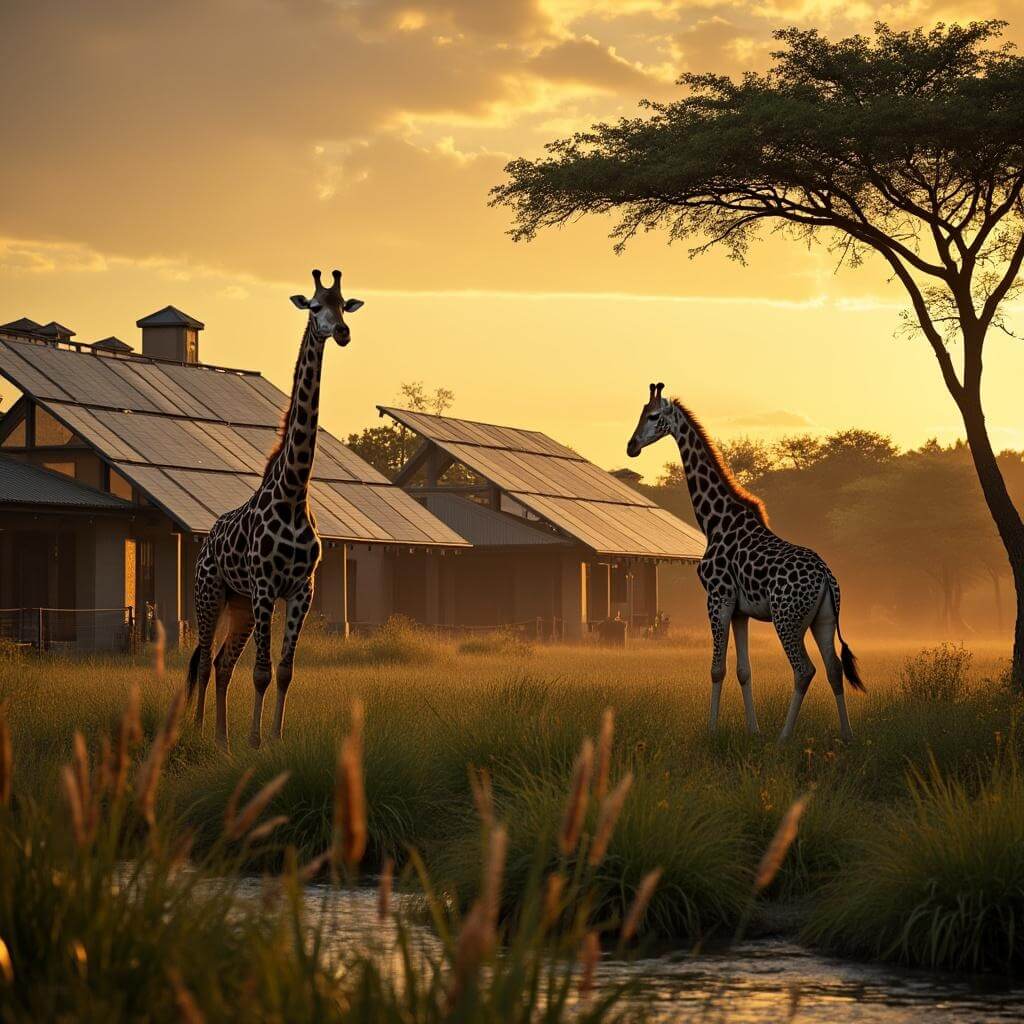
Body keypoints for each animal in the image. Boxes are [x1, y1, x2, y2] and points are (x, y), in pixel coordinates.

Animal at [187, 269, 364, 749]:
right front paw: (255, 741)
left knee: (221, 664)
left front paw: (275, 739)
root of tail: (205, 541)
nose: (342, 333)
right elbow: (262, 672)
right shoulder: (267, 586)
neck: (293, 492)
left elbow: (284, 672)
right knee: (201, 661)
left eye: (343, 305)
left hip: (240, 604)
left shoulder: (301, 589)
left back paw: (222, 740)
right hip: (210, 593)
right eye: (315, 307)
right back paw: (196, 733)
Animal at [626, 383, 864, 741]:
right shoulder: (741, 610)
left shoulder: (717, 598)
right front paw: (753, 729)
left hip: (786, 618)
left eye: (653, 416)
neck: (713, 521)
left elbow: (717, 669)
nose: (632, 446)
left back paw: (783, 738)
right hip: (822, 620)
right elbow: (743, 670)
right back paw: (846, 735)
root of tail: (825, 576)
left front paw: (711, 730)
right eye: (641, 413)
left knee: (804, 669)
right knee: (834, 668)